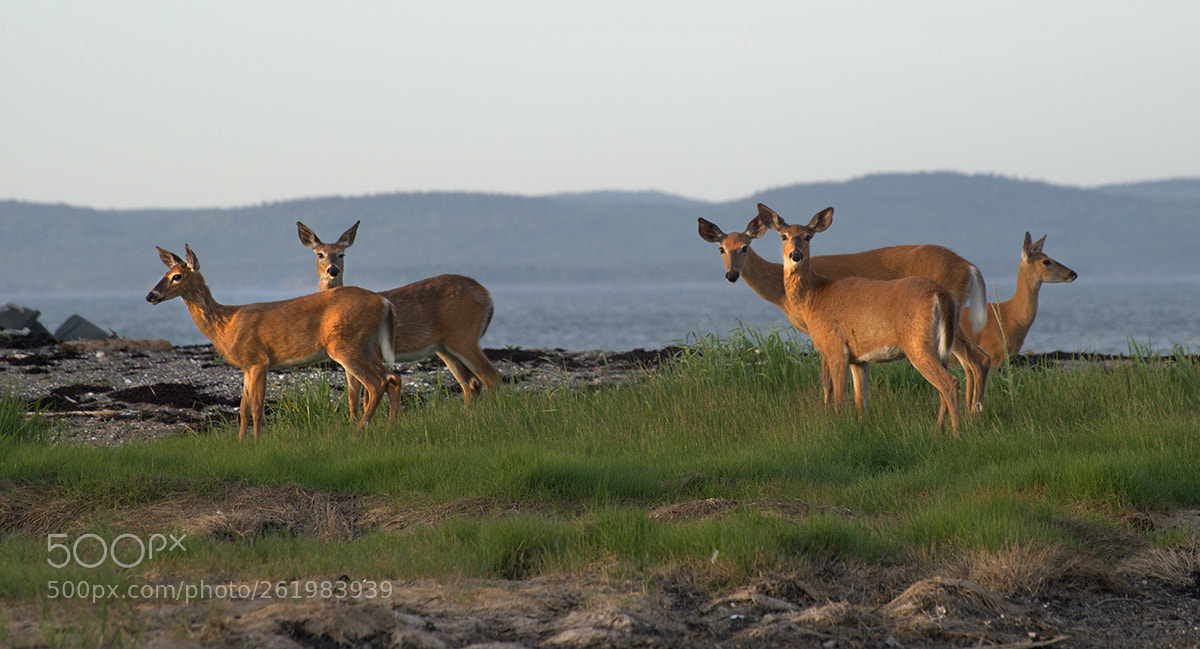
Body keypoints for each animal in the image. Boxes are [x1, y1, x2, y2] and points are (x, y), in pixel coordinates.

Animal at [144, 244, 398, 441]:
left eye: (177, 276)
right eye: (165, 272)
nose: (150, 295)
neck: (225, 325)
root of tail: (384, 303)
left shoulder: (257, 360)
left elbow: (257, 407)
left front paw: (257, 442)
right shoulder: (246, 366)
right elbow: (243, 407)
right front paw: (241, 442)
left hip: (344, 344)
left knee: (376, 383)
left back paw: (358, 431)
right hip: (366, 345)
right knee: (393, 378)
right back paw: (389, 428)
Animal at [296, 217, 501, 412]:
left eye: (342, 254)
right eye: (320, 254)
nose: (333, 270)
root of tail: (487, 295)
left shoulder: (371, 352)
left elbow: (366, 397)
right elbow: (353, 399)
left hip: (463, 335)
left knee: (490, 376)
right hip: (445, 348)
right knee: (471, 383)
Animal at [696, 214, 993, 412]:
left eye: (744, 247)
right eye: (721, 249)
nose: (732, 274)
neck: (782, 291)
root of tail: (971, 267)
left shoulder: (823, 330)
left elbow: (827, 381)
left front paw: (828, 414)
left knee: (976, 359)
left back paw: (971, 415)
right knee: (973, 361)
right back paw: (971, 414)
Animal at [758, 202, 964, 434]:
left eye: (808, 236)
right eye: (783, 236)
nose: (796, 255)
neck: (814, 296)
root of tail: (941, 294)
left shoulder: (836, 347)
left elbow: (839, 399)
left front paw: (838, 428)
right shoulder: (859, 359)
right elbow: (860, 401)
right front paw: (863, 427)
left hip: (917, 342)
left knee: (949, 383)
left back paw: (956, 433)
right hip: (941, 346)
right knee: (944, 386)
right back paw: (938, 430)